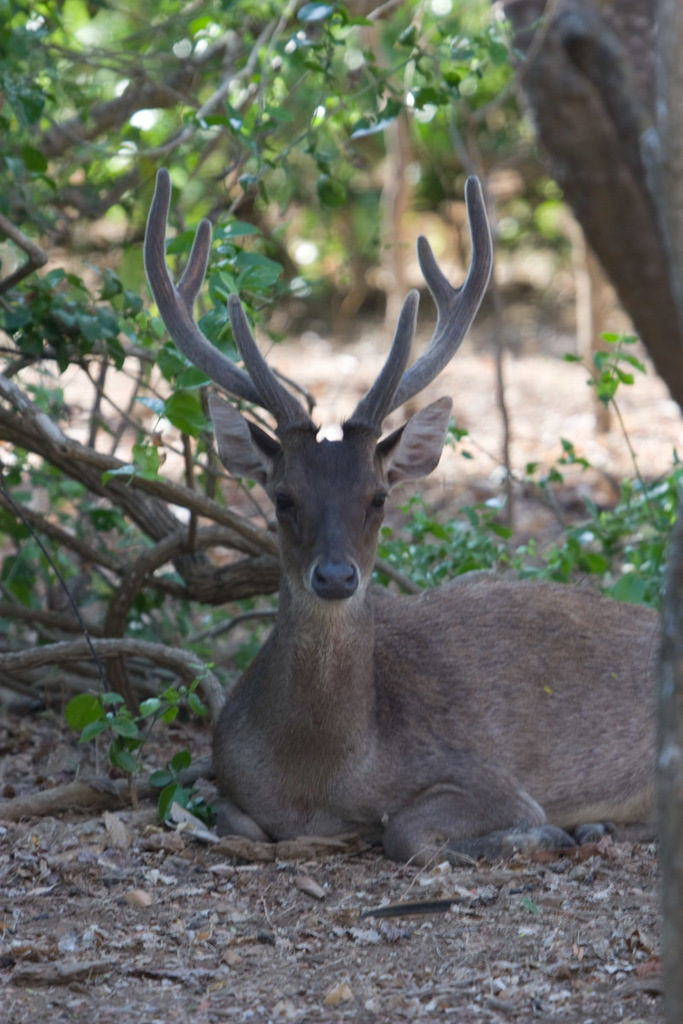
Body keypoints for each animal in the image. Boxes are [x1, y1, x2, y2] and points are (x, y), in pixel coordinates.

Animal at [144, 167, 659, 865]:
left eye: (378, 497)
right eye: (283, 497)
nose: (336, 577)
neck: (315, 778)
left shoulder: (485, 773)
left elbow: (408, 831)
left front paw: (542, 830)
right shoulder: (228, 775)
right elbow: (235, 824)